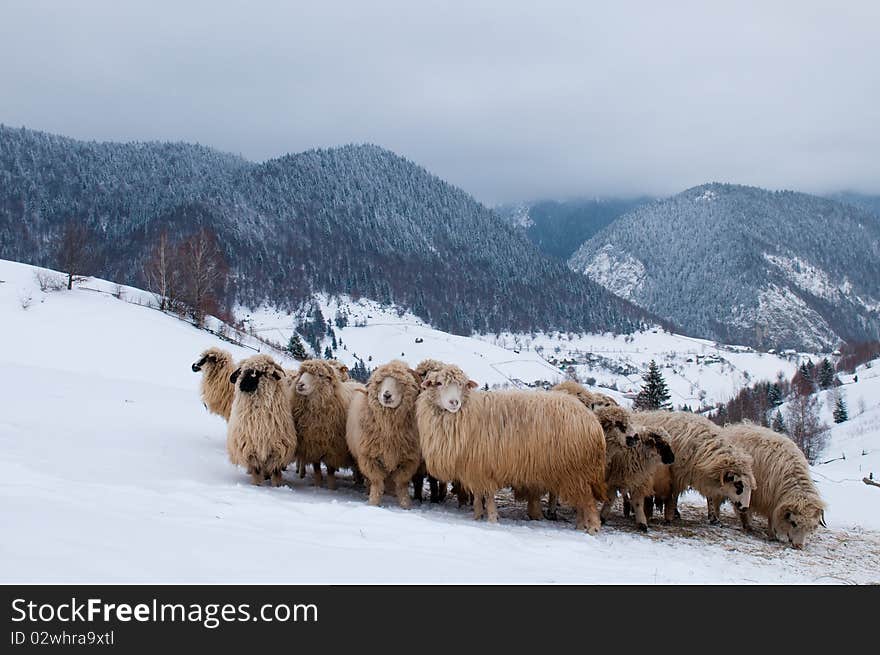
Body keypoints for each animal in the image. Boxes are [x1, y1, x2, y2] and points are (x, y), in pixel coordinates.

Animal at [225, 354, 298, 486]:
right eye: (242, 372)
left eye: (260, 373)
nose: (242, 385)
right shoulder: (250, 450)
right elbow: (257, 470)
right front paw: (257, 485)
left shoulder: (278, 450)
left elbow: (275, 471)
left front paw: (277, 485)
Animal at [288, 356, 358, 490]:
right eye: (301, 373)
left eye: (320, 375)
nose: (300, 384)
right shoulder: (313, 445)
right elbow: (316, 469)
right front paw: (318, 486)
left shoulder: (333, 448)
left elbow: (330, 470)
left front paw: (331, 488)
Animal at [346, 362, 424, 510]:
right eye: (380, 381)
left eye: (401, 382)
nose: (386, 395)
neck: (388, 430)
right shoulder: (369, 457)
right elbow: (377, 482)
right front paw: (373, 504)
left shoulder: (408, 460)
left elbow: (401, 484)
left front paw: (406, 505)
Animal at [416, 364, 608, 532]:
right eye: (439, 383)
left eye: (462, 385)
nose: (454, 402)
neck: (467, 411)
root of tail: (591, 420)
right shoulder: (474, 468)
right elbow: (478, 496)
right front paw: (477, 516)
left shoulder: (485, 468)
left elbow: (489, 496)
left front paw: (492, 519)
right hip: (573, 474)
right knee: (582, 502)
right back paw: (580, 526)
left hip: (577, 471)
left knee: (588, 501)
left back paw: (593, 528)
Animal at [720, 420, 828, 548]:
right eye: (794, 523)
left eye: (810, 527)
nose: (798, 546)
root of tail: (731, 427)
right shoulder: (767, 499)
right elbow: (770, 517)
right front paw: (772, 534)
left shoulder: (774, 500)